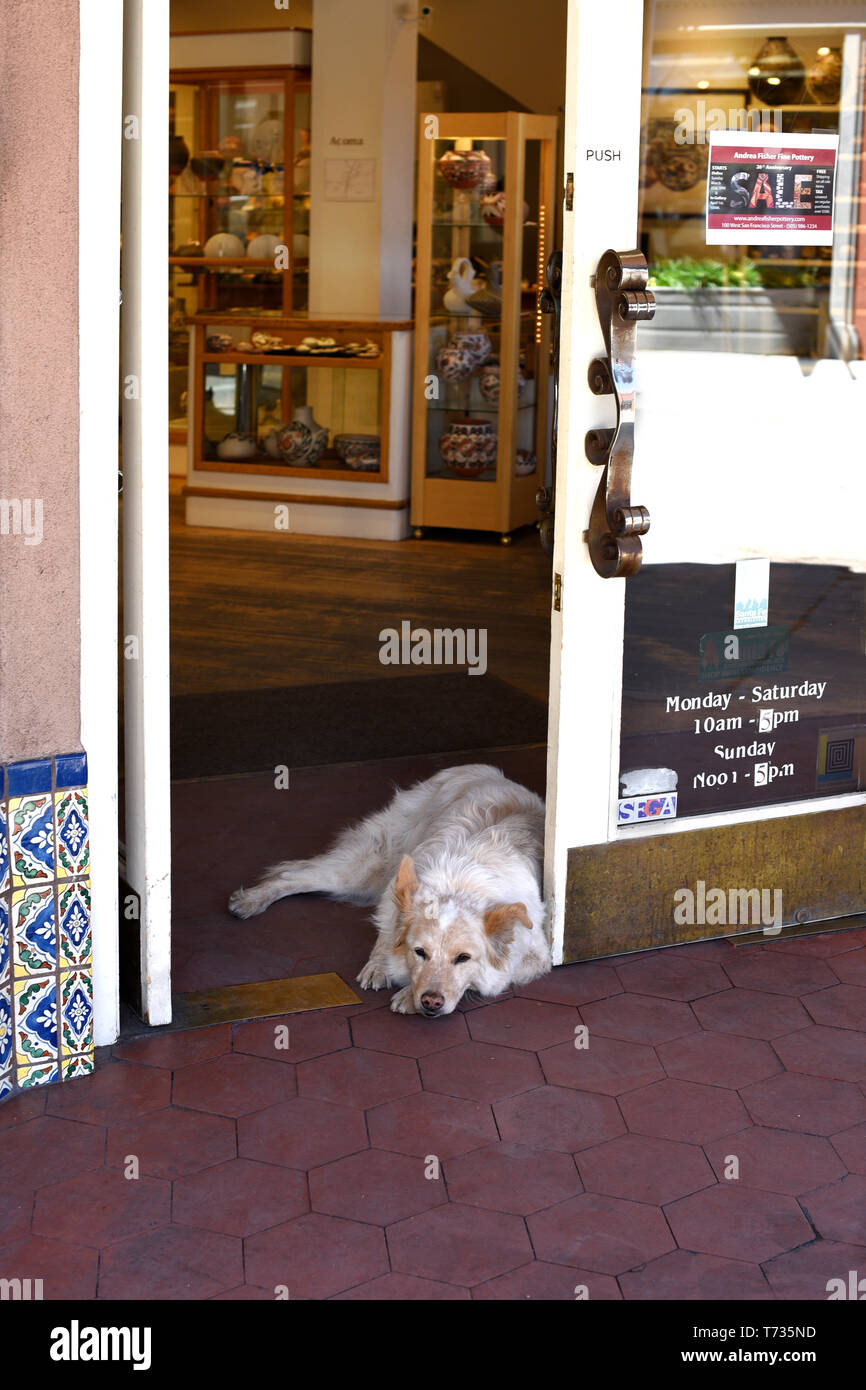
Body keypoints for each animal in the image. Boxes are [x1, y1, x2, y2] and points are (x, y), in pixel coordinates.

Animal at [230, 767, 553, 1017]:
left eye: (463, 958)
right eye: (420, 952)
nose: (430, 1003)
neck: (459, 885)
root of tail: (480, 770)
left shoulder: (537, 956)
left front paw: (407, 995)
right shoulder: (396, 893)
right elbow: (387, 932)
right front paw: (380, 966)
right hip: (365, 869)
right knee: (291, 874)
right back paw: (249, 900)